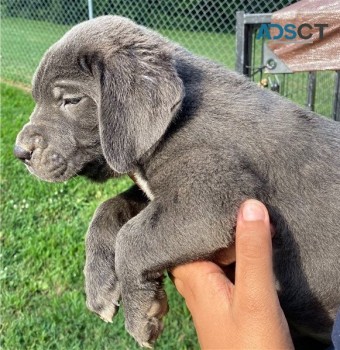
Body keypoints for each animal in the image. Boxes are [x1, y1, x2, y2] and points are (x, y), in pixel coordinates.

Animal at [14, 15, 338, 348]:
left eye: (71, 100)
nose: (19, 152)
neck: (175, 120)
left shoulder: (211, 197)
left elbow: (130, 237)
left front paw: (141, 315)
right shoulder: (157, 192)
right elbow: (109, 208)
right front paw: (99, 285)